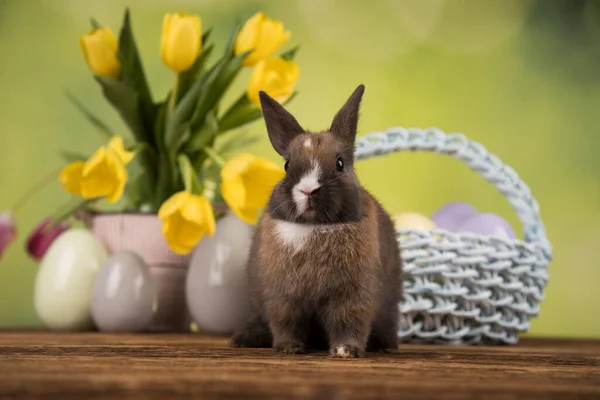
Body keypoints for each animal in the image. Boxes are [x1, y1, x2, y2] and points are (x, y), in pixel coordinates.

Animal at [231, 83, 404, 356]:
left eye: (340, 163)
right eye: (287, 165)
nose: (308, 189)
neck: (315, 227)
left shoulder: (354, 297)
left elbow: (349, 322)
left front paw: (346, 351)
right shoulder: (283, 298)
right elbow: (285, 322)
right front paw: (288, 348)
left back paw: (382, 344)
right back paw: (245, 338)